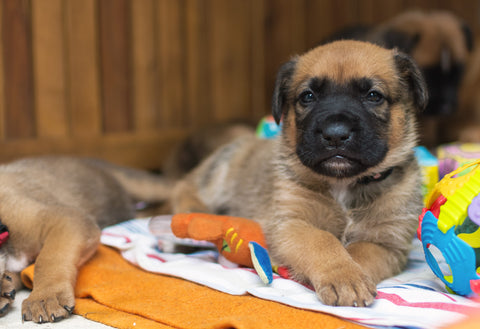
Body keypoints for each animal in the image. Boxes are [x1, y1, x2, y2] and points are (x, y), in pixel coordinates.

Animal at [171, 40, 426, 304]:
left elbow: (357, 253)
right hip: (223, 168)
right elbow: (321, 240)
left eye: (374, 96)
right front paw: (342, 275)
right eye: (308, 96)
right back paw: (193, 218)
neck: (343, 185)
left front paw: (351, 276)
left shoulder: (387, 243)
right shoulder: (291, 223)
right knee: (185, 187)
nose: (335, 134)